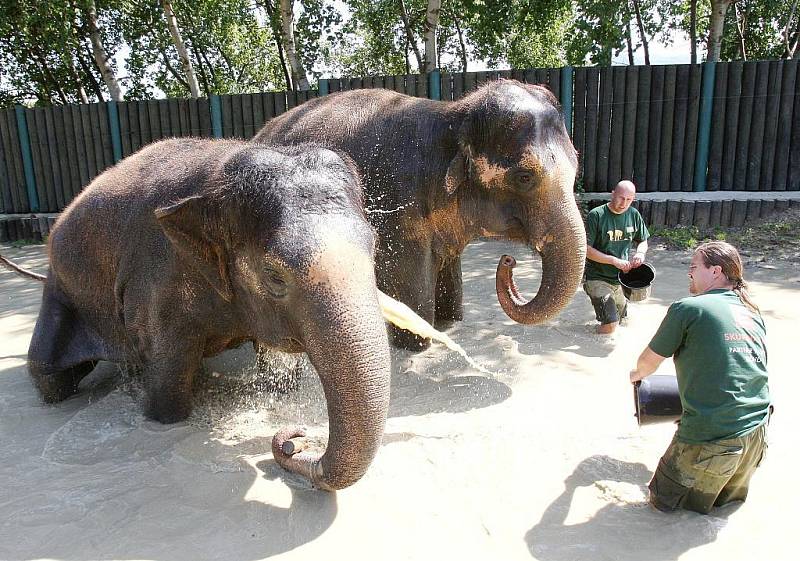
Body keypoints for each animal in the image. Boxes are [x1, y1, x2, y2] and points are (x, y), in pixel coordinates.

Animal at [5, 139, 394, 490]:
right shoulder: (156, 282)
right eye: (274, 275)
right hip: (62, 292)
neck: (220, 175)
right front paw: (165, 412)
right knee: (49, 376)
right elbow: (167, 393)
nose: (295, 441)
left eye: (374, 247)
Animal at [255, 77, 588, 350]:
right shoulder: (397, 209)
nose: (508, 261)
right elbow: (410, 277)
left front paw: (450, 322)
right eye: (525, 177)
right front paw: (417, 344)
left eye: (576, 168)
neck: (452, 117)